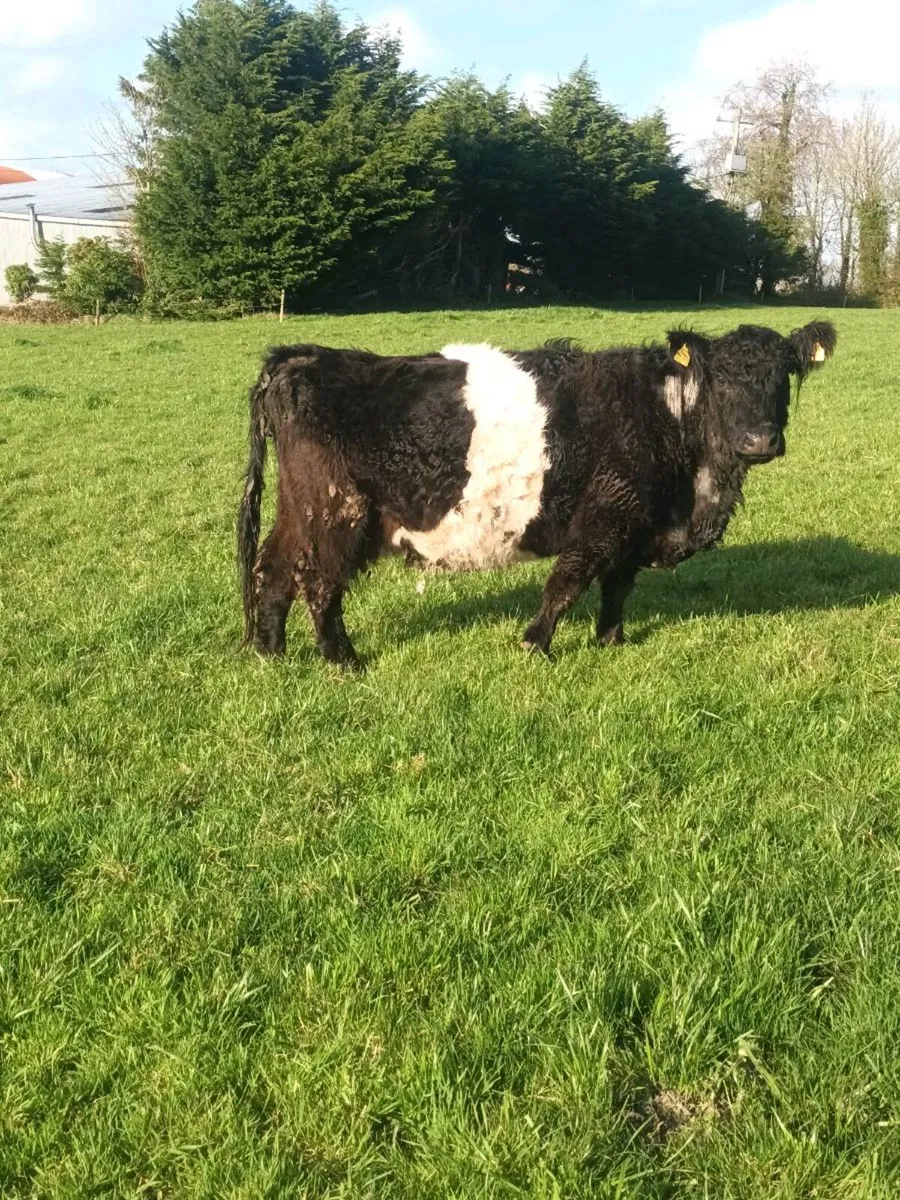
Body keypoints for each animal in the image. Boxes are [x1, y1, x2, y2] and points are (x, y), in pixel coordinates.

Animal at [237, 321, 836, 670]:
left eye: (783, 375)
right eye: (722, 377)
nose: (759, 440)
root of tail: (301, 357)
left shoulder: (636, 522)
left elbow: (617, 586)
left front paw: (611, 640)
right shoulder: (608, 511)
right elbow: (569, 582)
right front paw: (535, 644)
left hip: (300, 508)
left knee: (274, 570)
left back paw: (270, 652)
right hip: (336, 509)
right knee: (318, 582)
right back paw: (344, 660)